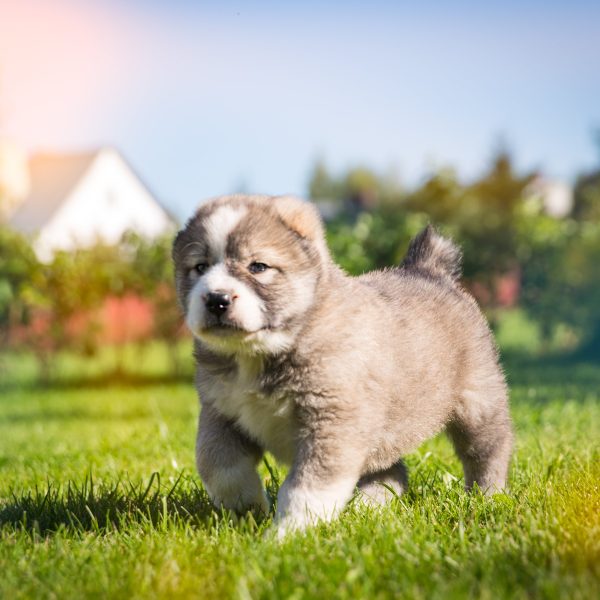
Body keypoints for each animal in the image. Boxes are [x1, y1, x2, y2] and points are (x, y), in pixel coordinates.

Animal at [172, 195, 510, 532]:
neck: (259, 354)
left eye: (258, 266)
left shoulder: (332, 422)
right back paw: (368, 506)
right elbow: (215, 462)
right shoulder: (220, 412)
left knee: (488, 450)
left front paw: (292, 531)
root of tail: (428, 270)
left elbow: (308, 487)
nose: (216, 299)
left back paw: (486, 497)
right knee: (391, 470)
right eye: (199, 267)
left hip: (478, 404)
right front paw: (245, 507)